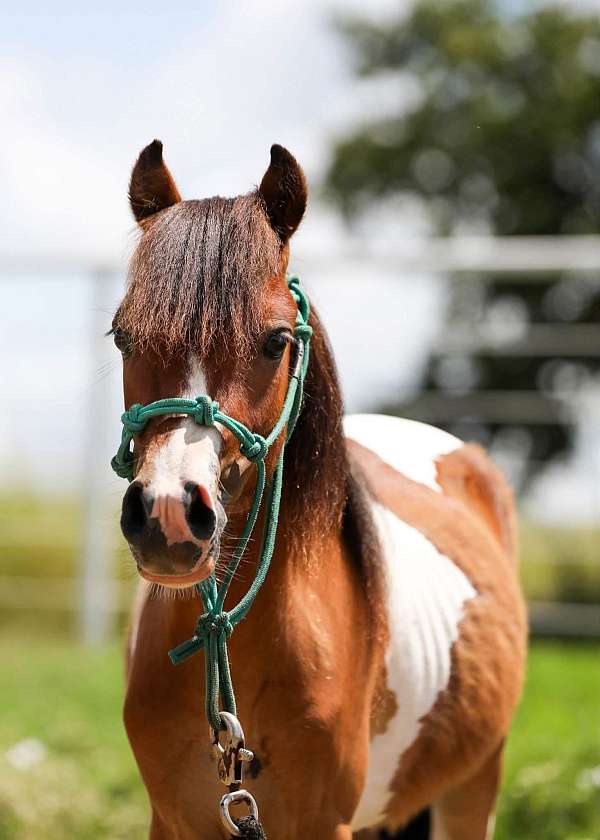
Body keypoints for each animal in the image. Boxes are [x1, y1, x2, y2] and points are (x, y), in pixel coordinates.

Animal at [114, 139, 527, 840]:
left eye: (277, 340)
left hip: (478, 780)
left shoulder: (323, 823)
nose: (168, 513)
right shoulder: (171, 821)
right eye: (122, 336)